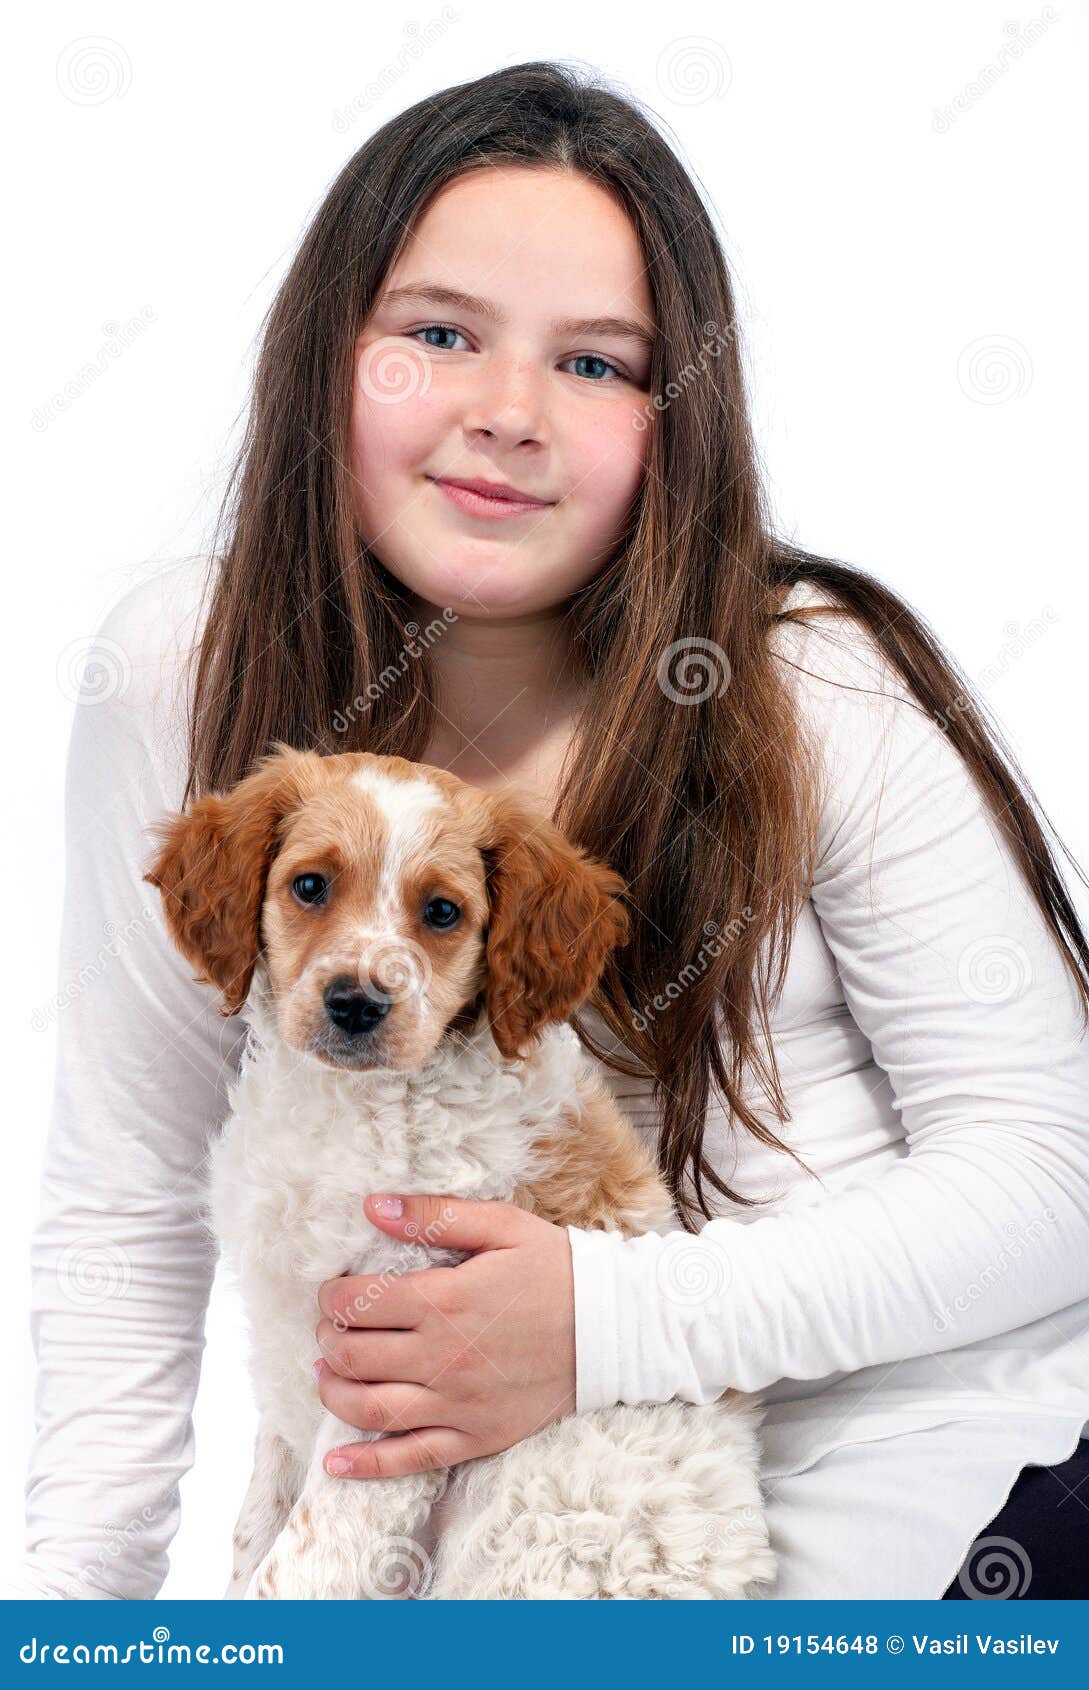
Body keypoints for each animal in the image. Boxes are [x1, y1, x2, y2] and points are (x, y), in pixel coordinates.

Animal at [142, 743, 774, 1595]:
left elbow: (296, 1567)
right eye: (309, 886)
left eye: (442, 912)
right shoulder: (286, 1364)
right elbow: (253, 1536)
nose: (356, 1004)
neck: (353, 1105)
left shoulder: (394, 1371)